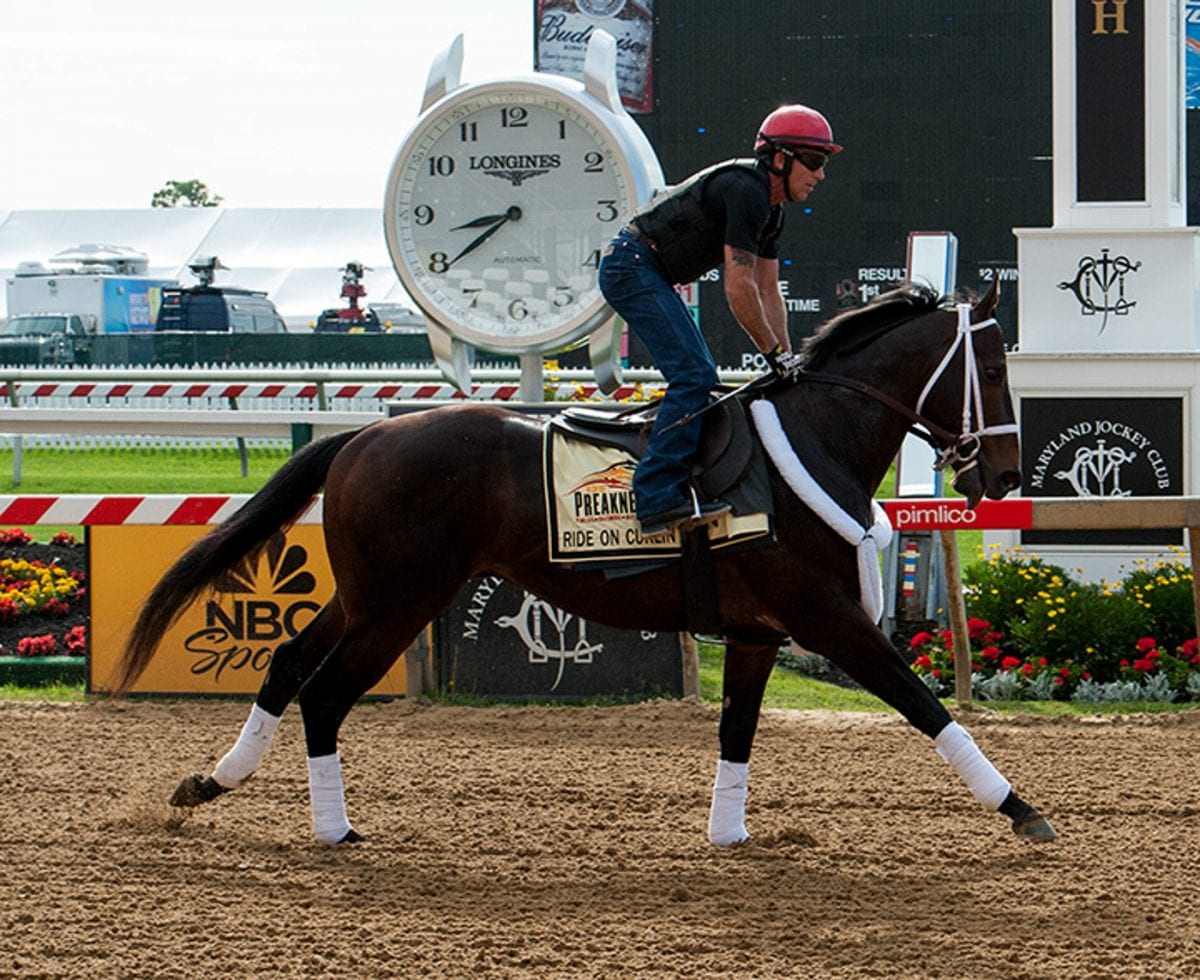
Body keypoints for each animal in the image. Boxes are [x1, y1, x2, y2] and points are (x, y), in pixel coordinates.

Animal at [108, 279, 1056, 844]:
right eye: (994, 363)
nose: (1008, 473)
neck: (815, 436)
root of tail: (365, 434)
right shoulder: (829, 618)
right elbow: (924, 705)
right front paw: (1022, 809)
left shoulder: (757, 632)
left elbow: (738, 730)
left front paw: (728, 832)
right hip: (400, 601)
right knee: (324, 693)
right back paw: (334, 828)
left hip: (372, 592)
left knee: (284, 662)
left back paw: (211, 782)